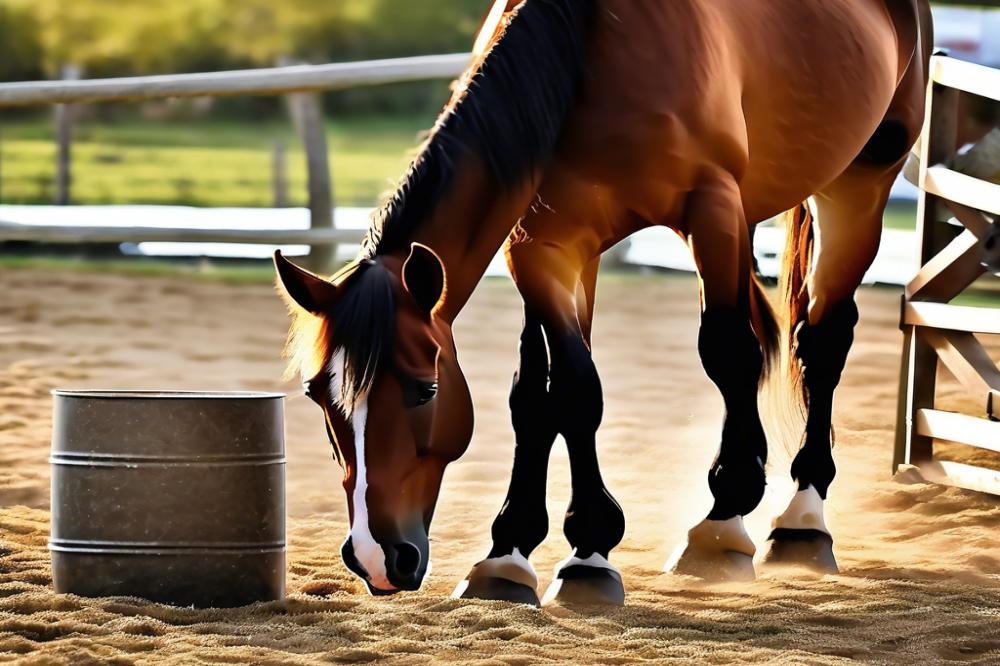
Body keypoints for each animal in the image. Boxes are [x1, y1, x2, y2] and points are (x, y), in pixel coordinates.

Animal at [272, 0, 928, 600]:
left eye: (424, 389)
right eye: (316, 397)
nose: (376, 557)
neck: (588, 49)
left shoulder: (712, 207)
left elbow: (727, 352)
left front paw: (719, 523)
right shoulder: (544, 249)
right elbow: (554, 393)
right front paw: (530, 554)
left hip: (859, 183)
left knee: (821, 341)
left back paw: (803, 519)